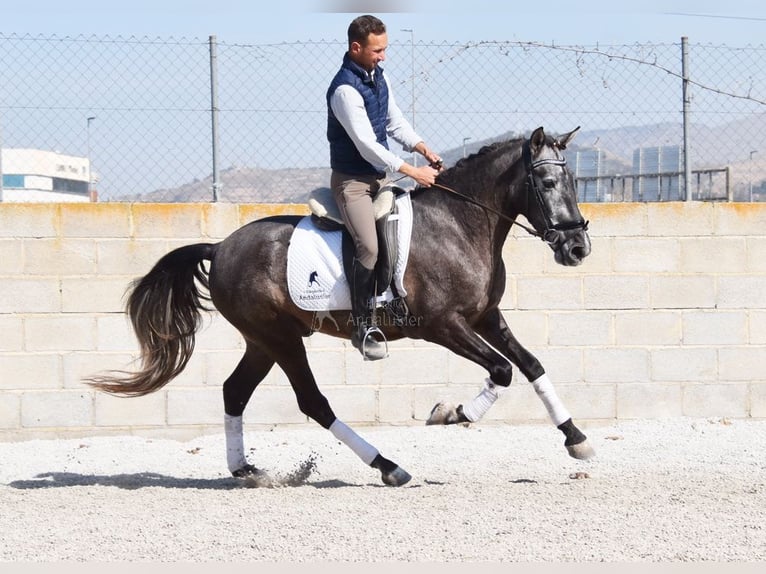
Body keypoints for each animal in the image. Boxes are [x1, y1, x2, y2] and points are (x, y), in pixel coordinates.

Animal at [87, 127, 596, 490]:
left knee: (235, 392)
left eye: (574, 181)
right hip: (280, 338)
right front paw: (452, 413)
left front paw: (576, 439)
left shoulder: (484, 316)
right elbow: (503, 370)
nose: (577, 248)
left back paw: (247, 472)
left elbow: (531, 365)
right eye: (547, 182)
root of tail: (221, 246)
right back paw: (388, 467)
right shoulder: (442, 325)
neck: (460, 224)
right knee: (311, 401)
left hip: (262, 341)